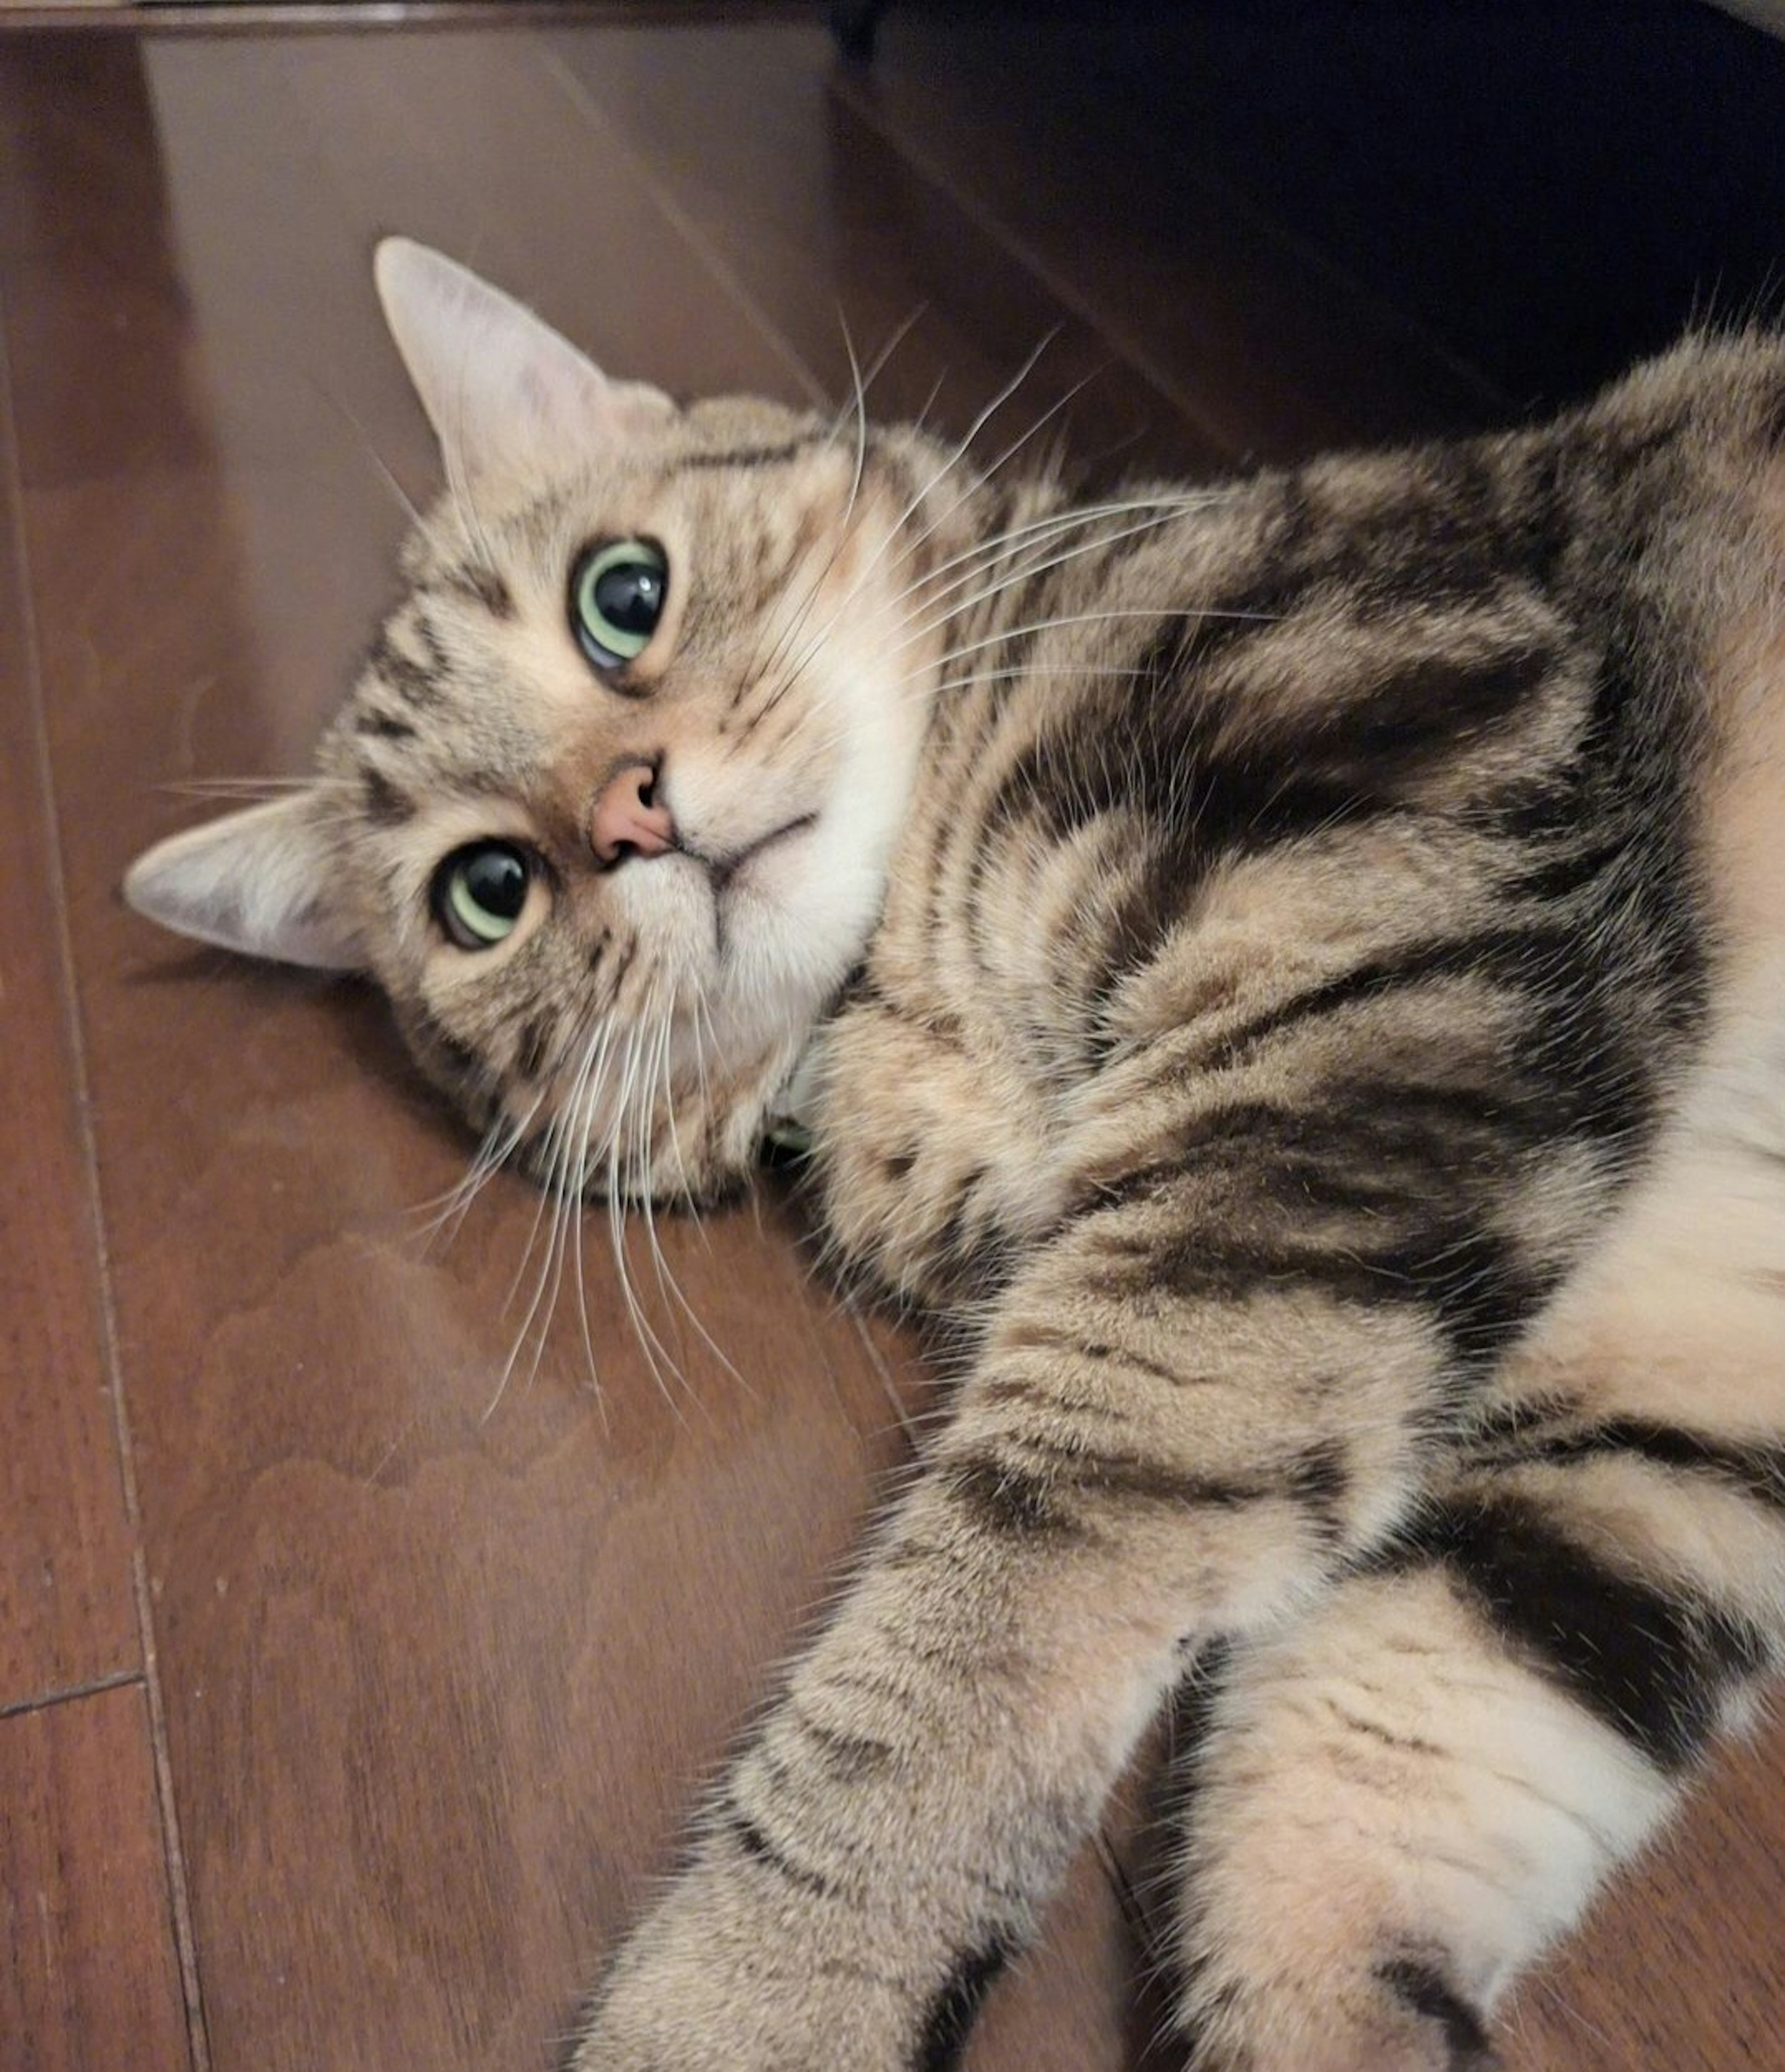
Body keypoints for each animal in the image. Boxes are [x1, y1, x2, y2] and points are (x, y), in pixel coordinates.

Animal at [126, 242, 1785, 2072]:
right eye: (486, 891)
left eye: (621, 595)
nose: (637, 814)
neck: (905, 982)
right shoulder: (1643, 1407)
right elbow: (1370, 1773)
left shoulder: (1366, 957)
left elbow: (957, 1656)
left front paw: (738, 2009)